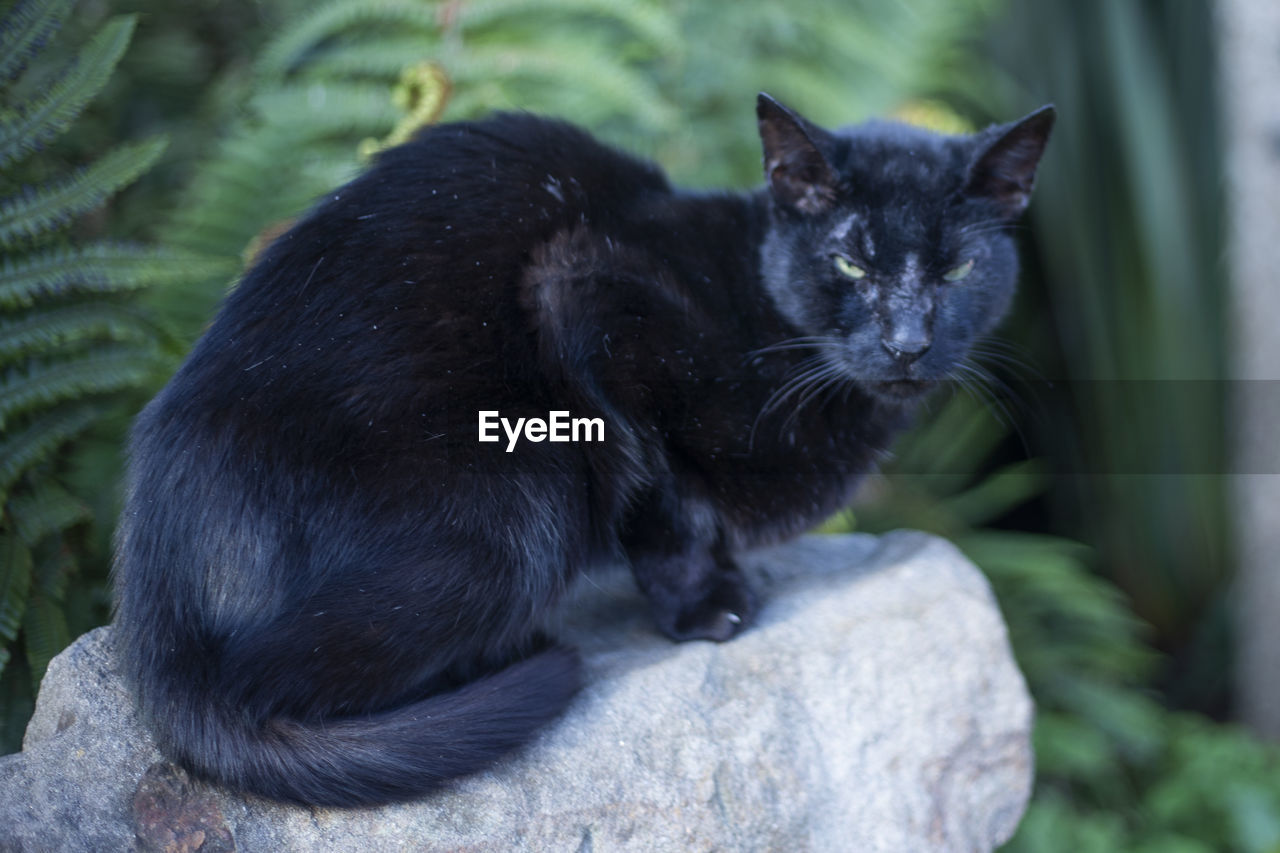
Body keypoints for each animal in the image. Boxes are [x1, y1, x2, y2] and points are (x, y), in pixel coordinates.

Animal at [112, 91, 1049, 804]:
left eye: (959, 271)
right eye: (852, 265)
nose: (907, 343)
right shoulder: (581, 296)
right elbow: (669, 495)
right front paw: (704, 605)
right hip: (522, 495)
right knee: (270, 680)